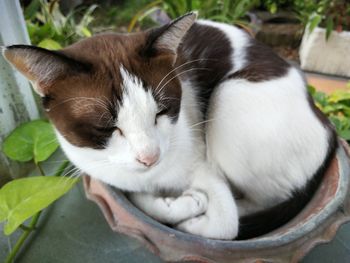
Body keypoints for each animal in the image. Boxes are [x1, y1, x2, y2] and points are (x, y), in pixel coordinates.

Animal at [2, 11, 336, 240]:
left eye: (162, 111)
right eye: (106, 128)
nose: (149, 158)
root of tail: (327, 124)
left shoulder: (205, 166)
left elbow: (225, 225)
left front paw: (191, 215)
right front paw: (173, 203)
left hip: (232, 95)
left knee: (262, 200)